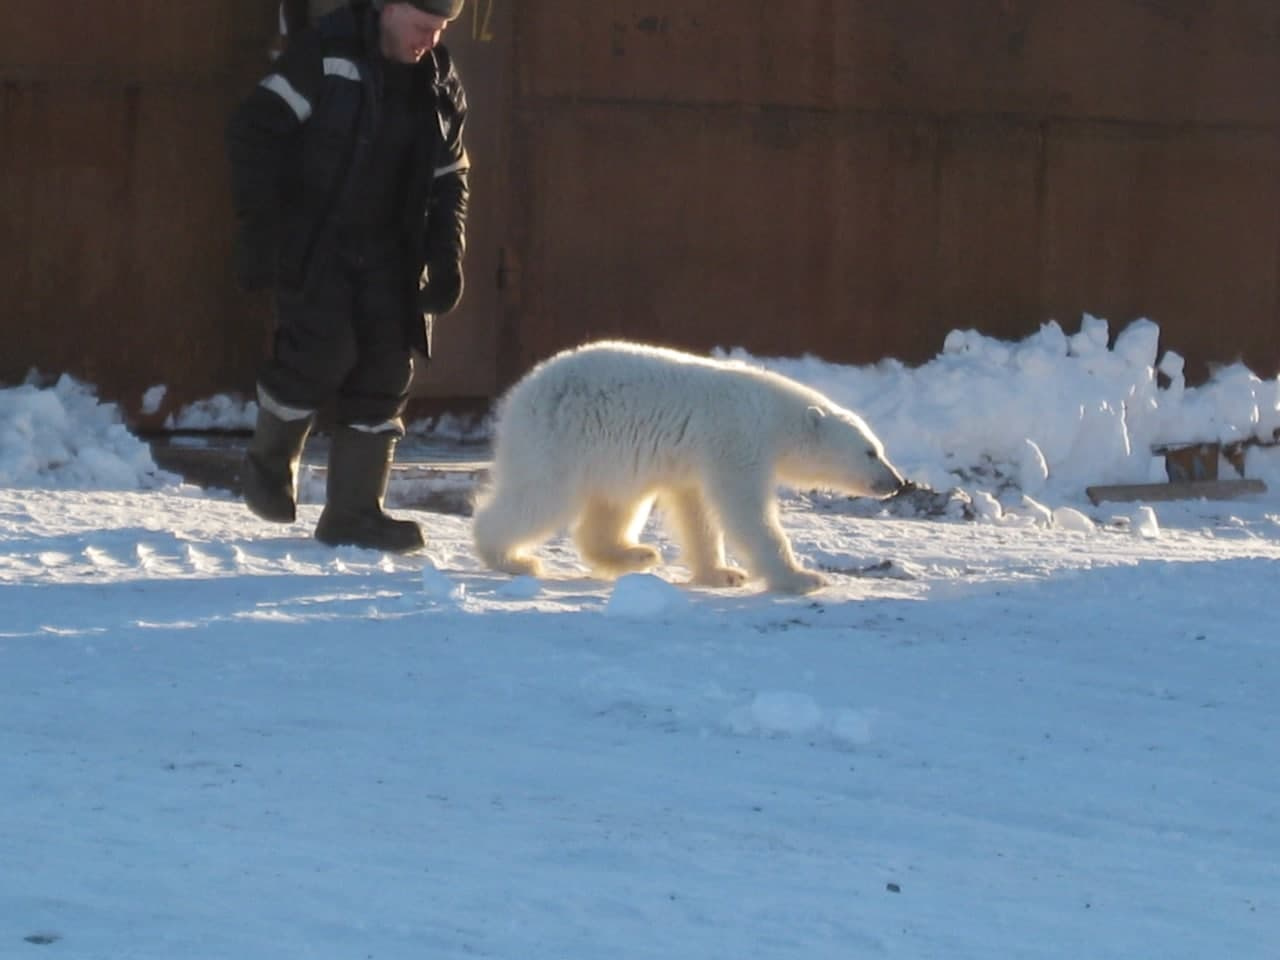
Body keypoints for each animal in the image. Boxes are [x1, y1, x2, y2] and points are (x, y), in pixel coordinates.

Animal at [473, 337, 911, 593]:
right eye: (870, 451)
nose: (895, 481)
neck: (772, 414)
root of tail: (521, 392)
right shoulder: (736, 439)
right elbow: (745, 510)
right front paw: (802, 578)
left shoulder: (697, 459)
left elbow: (696, 510)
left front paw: (723, 574)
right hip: (562, 439)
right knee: (540, 497)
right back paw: (512, 558)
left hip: (607, 456)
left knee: (614, 506)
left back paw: (637, 554)